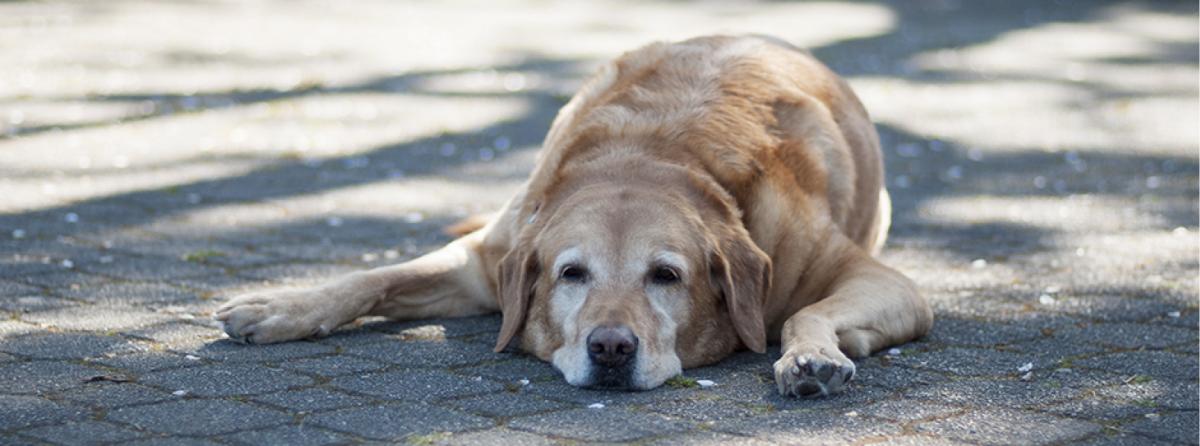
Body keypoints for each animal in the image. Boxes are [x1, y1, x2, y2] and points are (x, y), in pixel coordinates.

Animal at [213, 35, 936, 398]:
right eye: (571, 274)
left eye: (666, 276)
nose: (611, 348)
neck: (649, 156)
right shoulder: (487, 260)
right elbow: (376, 277)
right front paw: (283, 305)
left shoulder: (885, 281)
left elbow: (805, 313)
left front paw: (810, 356)